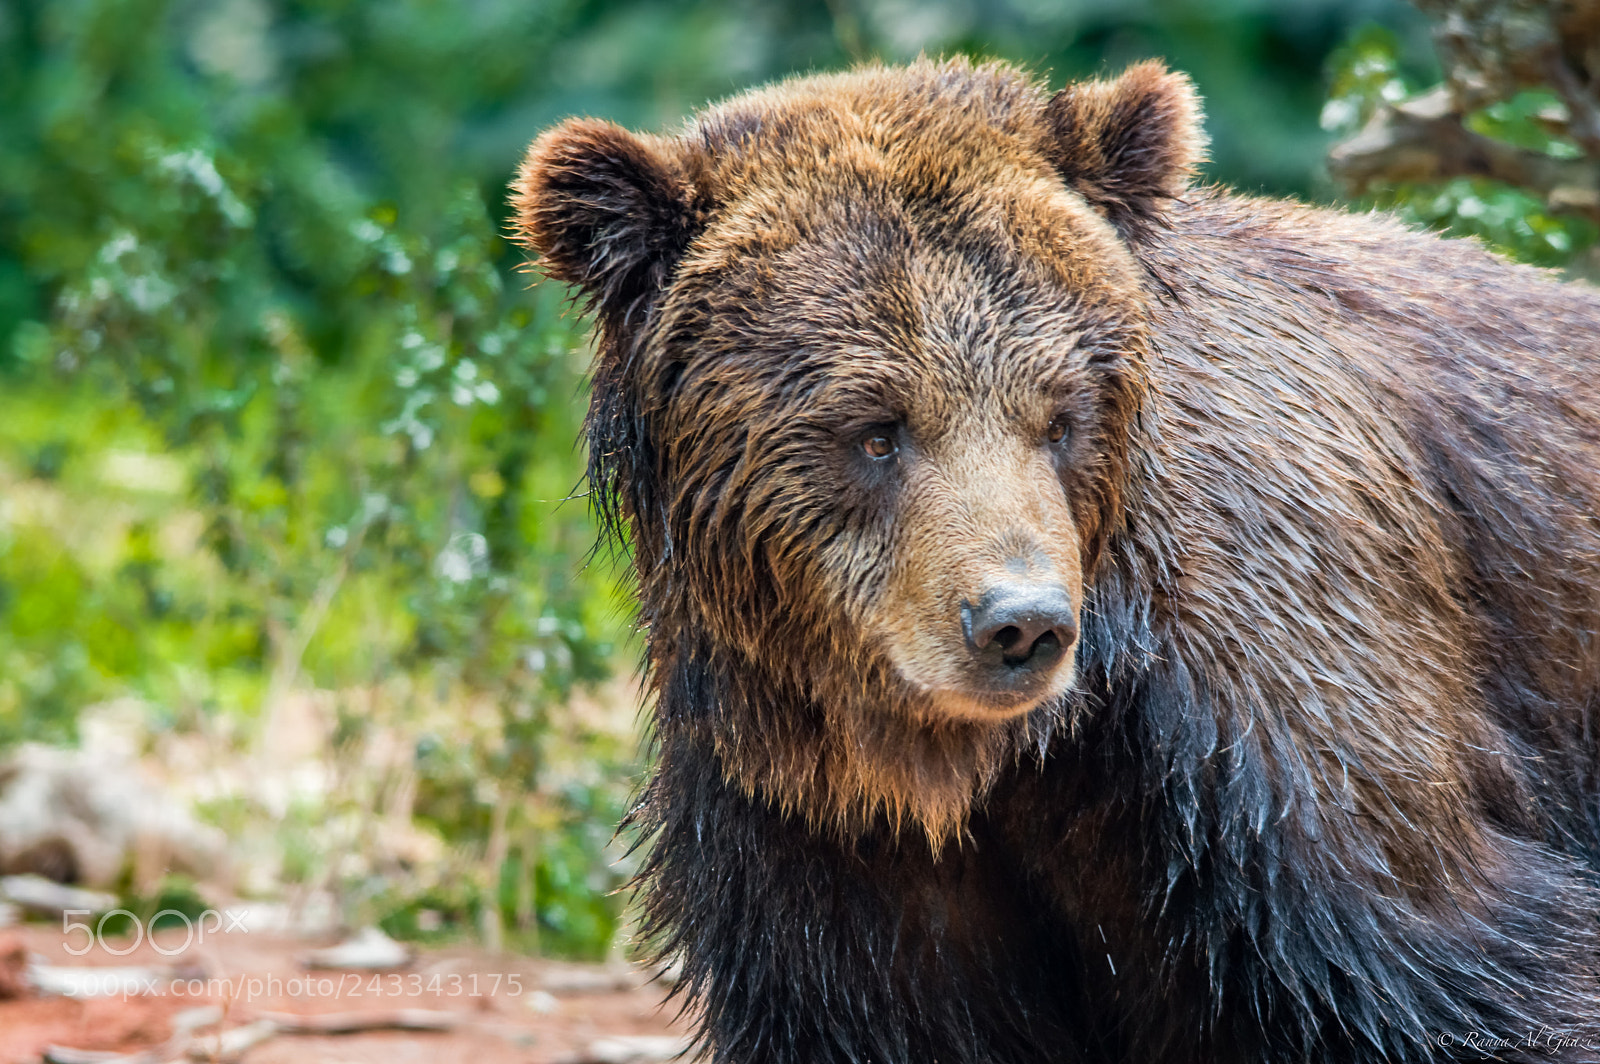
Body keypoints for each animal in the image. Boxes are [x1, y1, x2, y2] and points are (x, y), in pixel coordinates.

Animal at [511, 58, 1600, 1063]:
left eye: (1062, 416)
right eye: (875, 429)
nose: (1019, 622)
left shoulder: (1274, 756)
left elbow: (1470, 957)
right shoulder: (820, 840)